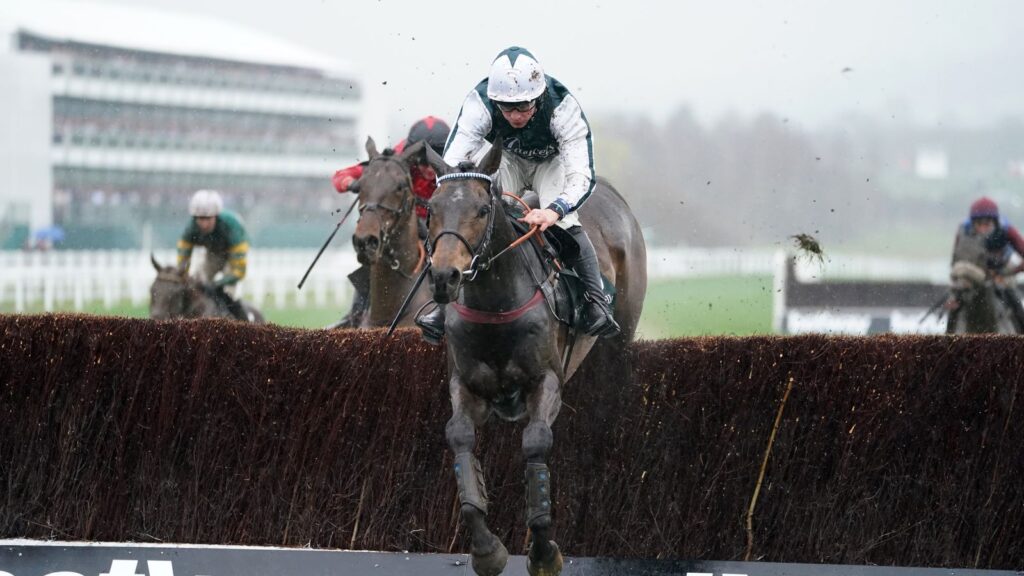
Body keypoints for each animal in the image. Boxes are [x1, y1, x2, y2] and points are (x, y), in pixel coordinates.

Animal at [419, 140, 643, 573]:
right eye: (431, 209)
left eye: (482, 210)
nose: (443, 277)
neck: (495, 303)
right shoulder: (466, 384)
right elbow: (459, 440)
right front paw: (486, 549)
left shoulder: (546, 382)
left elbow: (536, 444)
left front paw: (542, 551)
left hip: (621, 336)